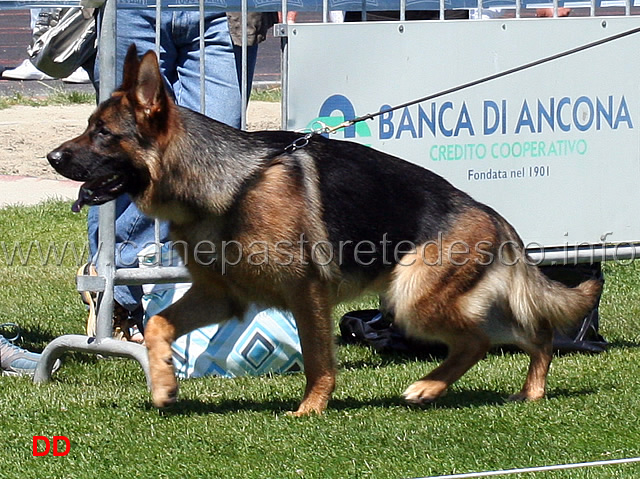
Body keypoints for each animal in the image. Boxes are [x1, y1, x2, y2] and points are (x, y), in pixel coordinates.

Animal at [48, 47, 600, 418]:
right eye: (88, 126)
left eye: (103, 134)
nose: (52, 157)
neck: (231, 183)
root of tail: (493, 216)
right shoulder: (222, 295)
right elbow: (159, 326)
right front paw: (163, 382)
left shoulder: (306, 292)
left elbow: (317, 359)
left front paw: (311, 409)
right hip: (442, 300)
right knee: (535, 334)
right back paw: (528, 392)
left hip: (411, 297)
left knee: (480, 342)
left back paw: (428, 388)